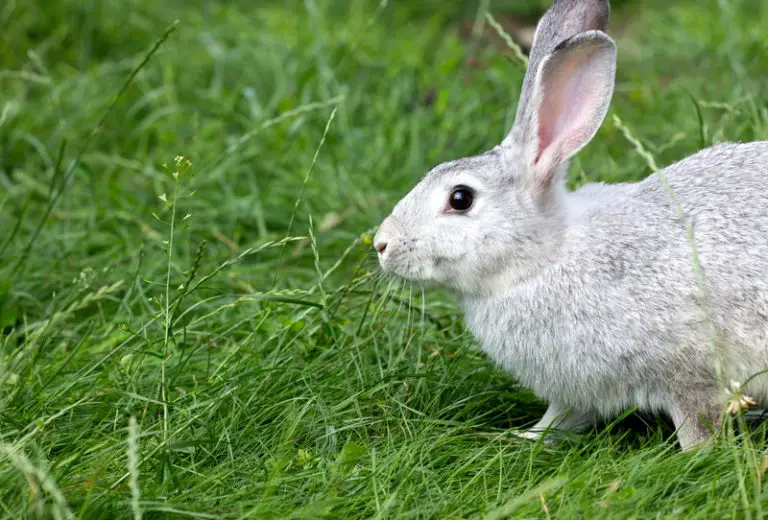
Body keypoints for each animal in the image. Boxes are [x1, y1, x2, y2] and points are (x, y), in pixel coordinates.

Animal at [373, 0, 768, 451]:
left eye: (460, 199)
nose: (381, 244)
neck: (544, 258)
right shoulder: (577, 393)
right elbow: (559, 418)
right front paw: (523, 437)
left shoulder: (689, 372)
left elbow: (698, 424)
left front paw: (697, 456)